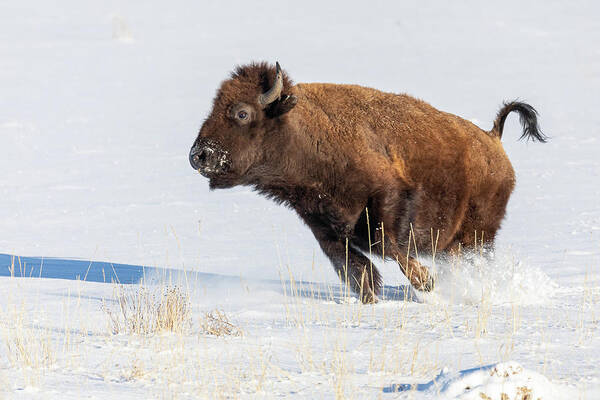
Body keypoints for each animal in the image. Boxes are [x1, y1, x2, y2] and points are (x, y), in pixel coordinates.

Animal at [190, 61, 548, 302]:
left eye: (242, 113)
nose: (199, 155)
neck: (307, 134)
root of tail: (493, 138)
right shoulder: (323, 226)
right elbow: (352, 265)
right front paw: (370, 296)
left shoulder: (387, 200)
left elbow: (385, 246)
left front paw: (425, 282)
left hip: (477, 234)